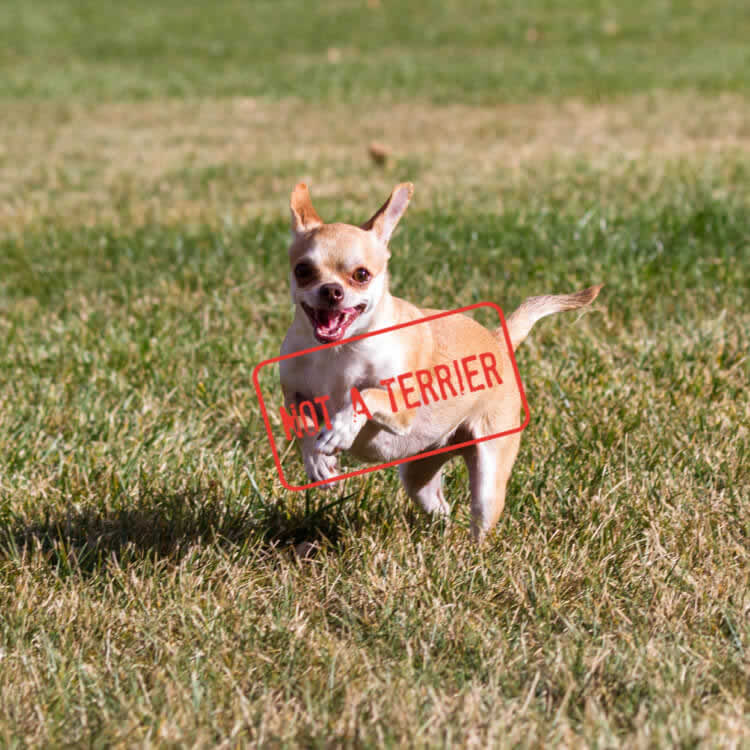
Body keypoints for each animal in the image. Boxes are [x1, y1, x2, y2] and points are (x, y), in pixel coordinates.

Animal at [280, 185, 604, 544]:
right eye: (303, 271)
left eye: (361, 275)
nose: (331, 290)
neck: (337, 352)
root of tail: (496, 341)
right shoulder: (295, 394)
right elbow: (302, 421)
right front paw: (316, 460)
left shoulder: (401, 409)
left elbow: (364, 394)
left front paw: (339, 429)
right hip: (418, 475)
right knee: (440, 507)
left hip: (488, 477)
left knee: (481, 515)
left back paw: (474, 552)